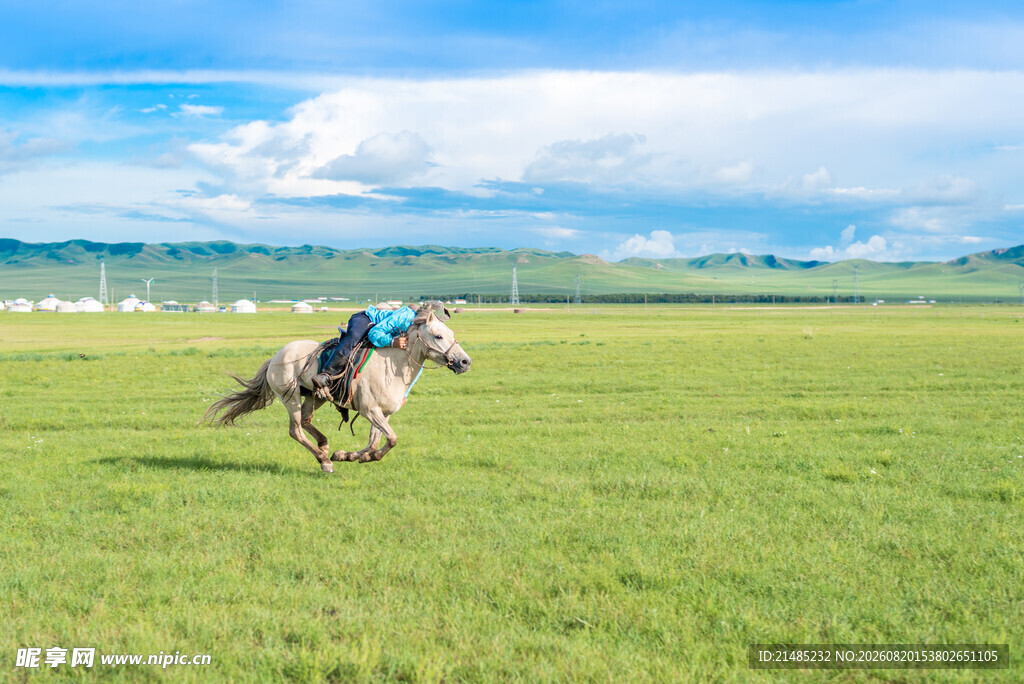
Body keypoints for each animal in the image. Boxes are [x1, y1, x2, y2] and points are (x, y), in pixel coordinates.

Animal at [202, 304, 471, 472]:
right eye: (438, 336)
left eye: (450, 333)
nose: (465, 362)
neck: (393, 366)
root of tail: (276, 357)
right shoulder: (370, 410)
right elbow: (391, 439)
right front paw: (351, 457)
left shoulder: (382, 414)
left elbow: (376, 442)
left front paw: (350, 455)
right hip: (290, 398)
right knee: (296, 430)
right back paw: (324, 461)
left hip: (314, 396)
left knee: (307, 421)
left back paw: (325, 446)